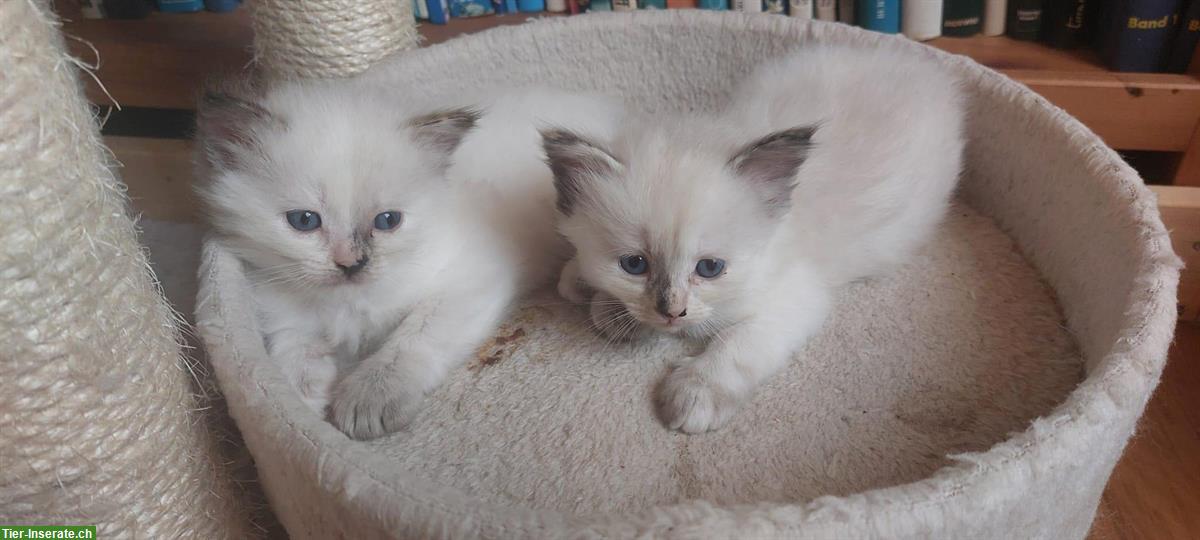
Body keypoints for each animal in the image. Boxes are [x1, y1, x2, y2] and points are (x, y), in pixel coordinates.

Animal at [195, 76, 619, 439]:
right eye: (304, 221)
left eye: (388, 221)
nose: (352, 264)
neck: (348, 304)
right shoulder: (281, 305)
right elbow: (293, 349)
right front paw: (300, 403)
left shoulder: (468, 279)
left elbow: (412, 339)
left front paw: (369, 397)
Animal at [544, 46, 964, 434]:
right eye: (634, 265)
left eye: (710, 268)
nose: (672, 312)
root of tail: (923, 64)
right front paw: (595, 297)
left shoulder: (795, 295)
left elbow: (735, 344)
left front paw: (696, 394)